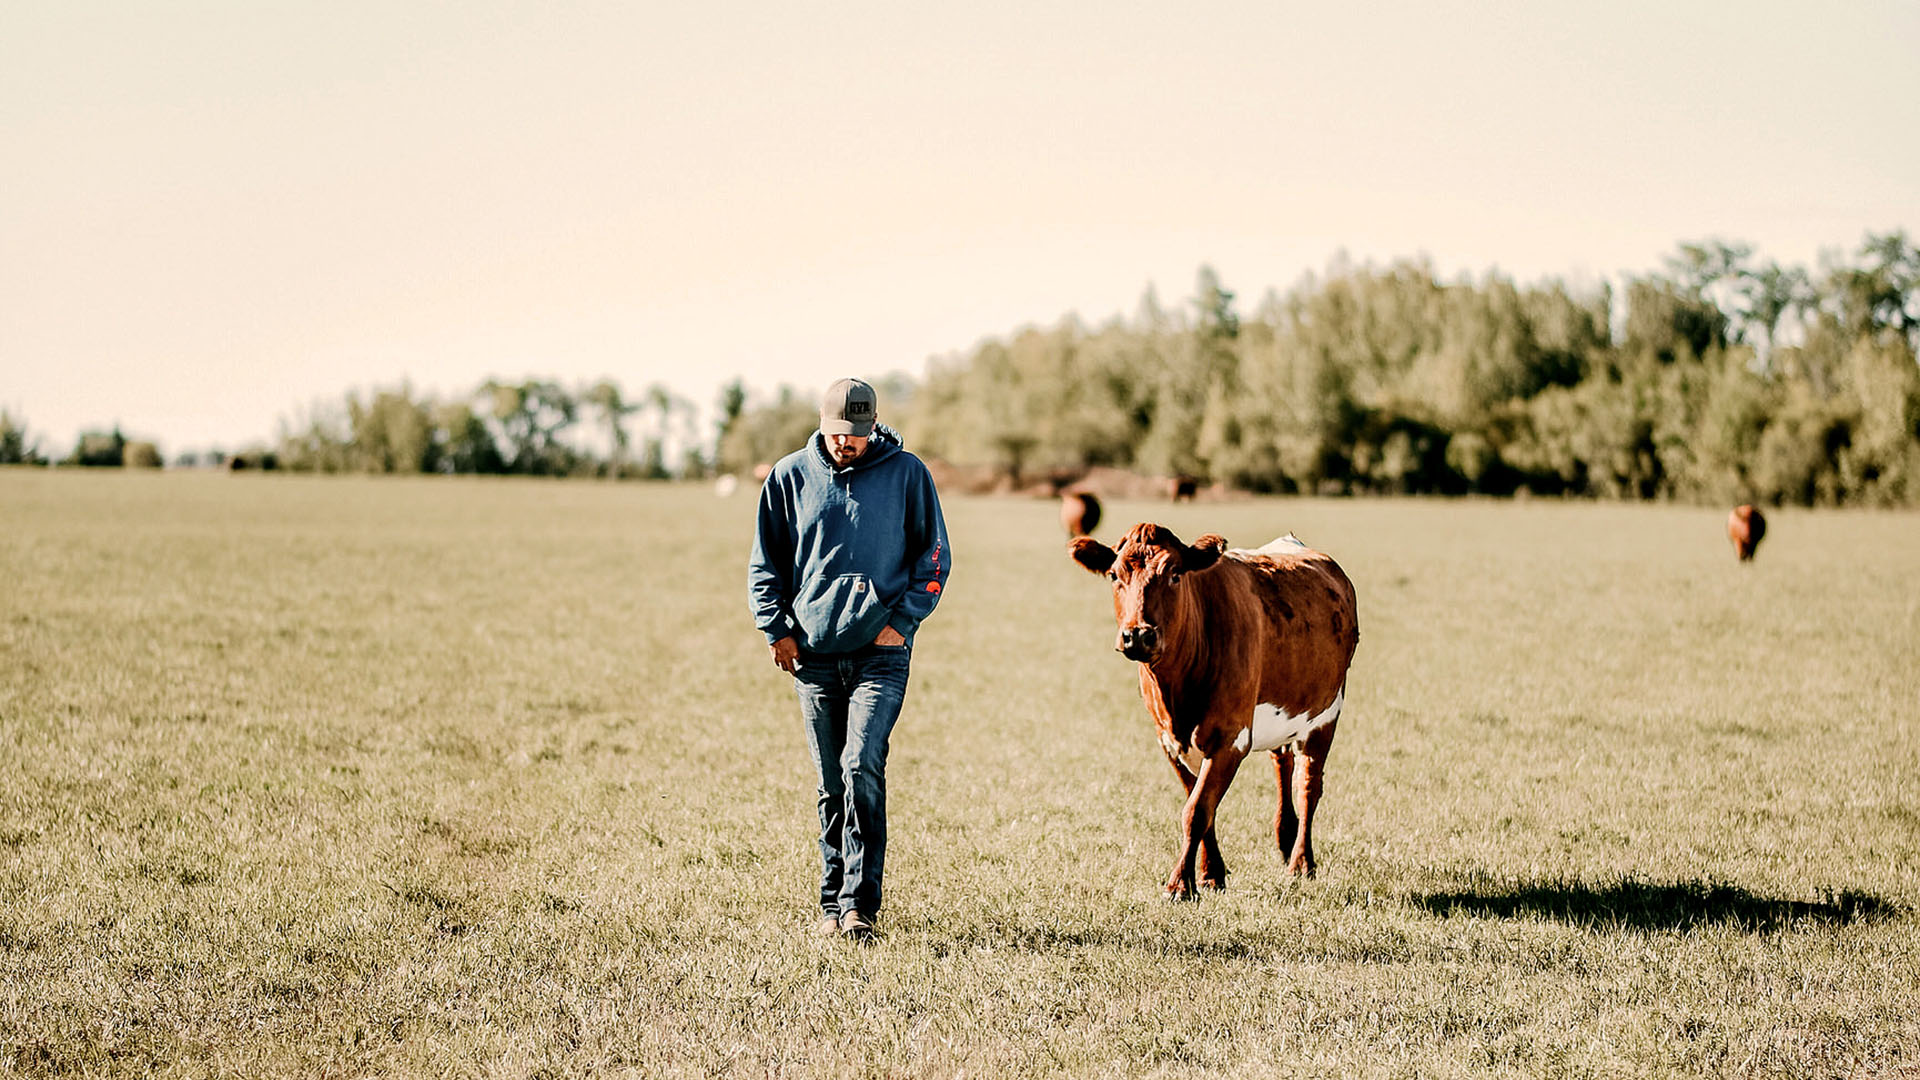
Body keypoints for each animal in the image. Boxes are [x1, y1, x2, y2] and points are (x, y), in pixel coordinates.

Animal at [1067, 526, 1367, 895]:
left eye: (1175, 574)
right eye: (1113, 575)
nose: (1137, 635)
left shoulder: (1230, 738)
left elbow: (1196, 810)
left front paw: (1180, 884)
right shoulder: (1169, 741)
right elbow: (1199, 804)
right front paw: (1211, 873)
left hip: (1325, 715)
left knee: (1308, 785)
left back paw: (1301, 862)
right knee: (1283, 763)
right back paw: (1285, 837)